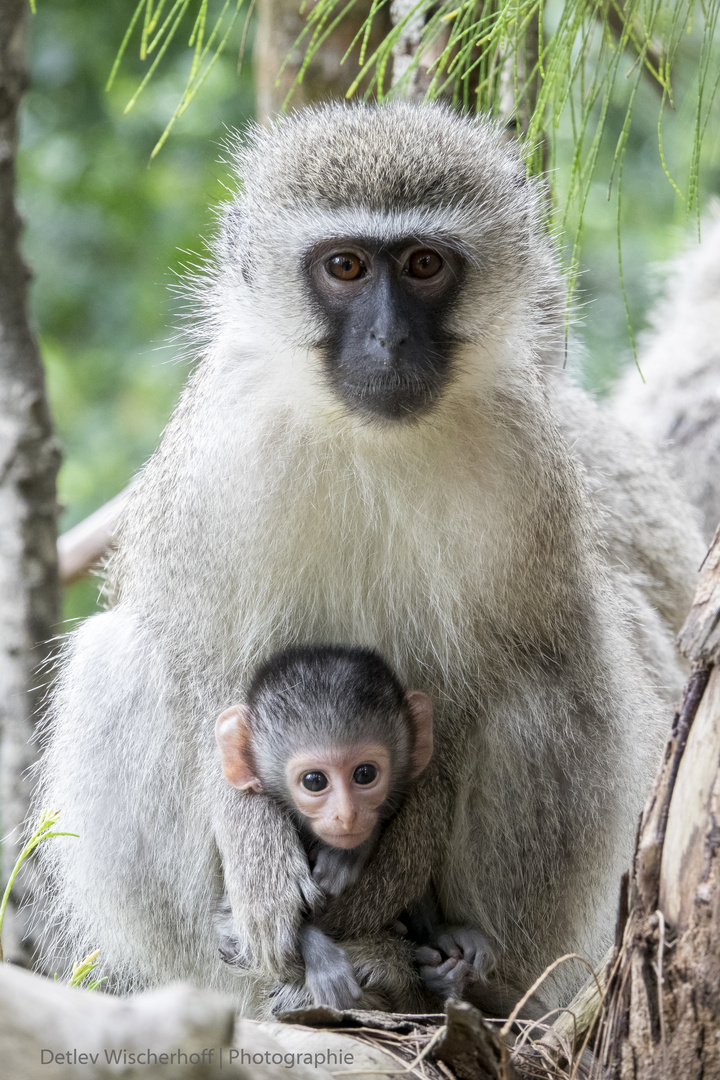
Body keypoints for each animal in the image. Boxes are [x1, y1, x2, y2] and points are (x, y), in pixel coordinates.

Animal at [211, 643, 487, 1006]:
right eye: (314, 781)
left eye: (365, 774)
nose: (347, 815)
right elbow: (233, 933)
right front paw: (324, 962)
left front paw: (345, 858)